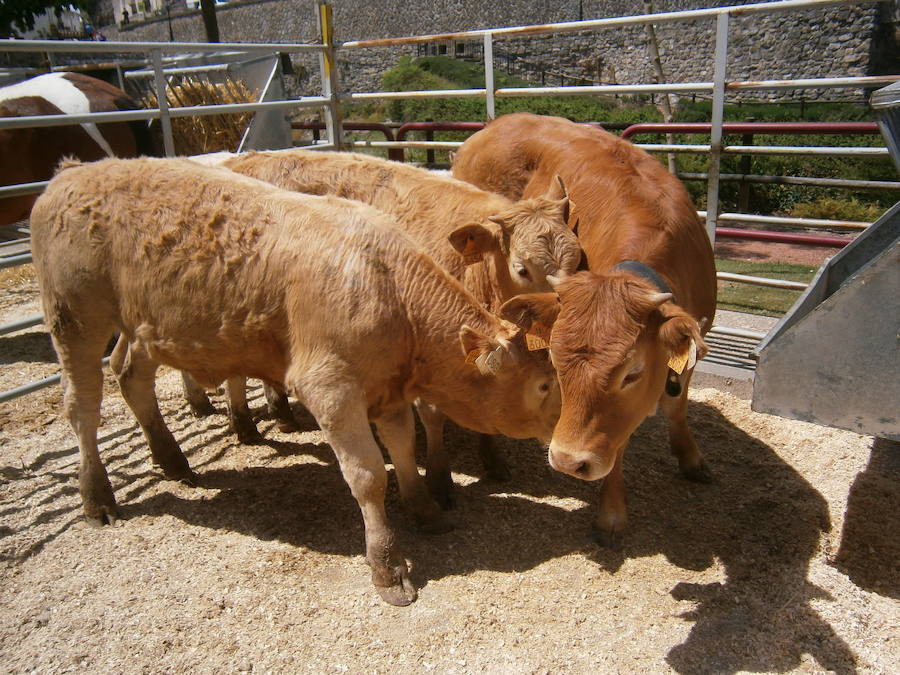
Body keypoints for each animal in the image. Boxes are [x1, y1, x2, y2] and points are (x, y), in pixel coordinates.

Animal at [29, 158, 564, 608]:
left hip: (144, 328)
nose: (566, 433)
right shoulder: (331, 389)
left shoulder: (389, 389)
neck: (388, 286)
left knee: (131, 378)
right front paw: (387, 565)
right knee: (83, 407)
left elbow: (403, 448)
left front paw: (425, 510)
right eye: (543, 385)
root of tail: (71, 173)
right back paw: (98, 496)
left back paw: (173, 459)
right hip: (76, 321)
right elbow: (369, 475)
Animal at [454, 113, 720, 548]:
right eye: (558, 365)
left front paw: (691, 456)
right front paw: (611, 513)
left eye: (632, 373)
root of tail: (500, 121)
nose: (566, 461)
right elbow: (617, 442)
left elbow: (677, 406)